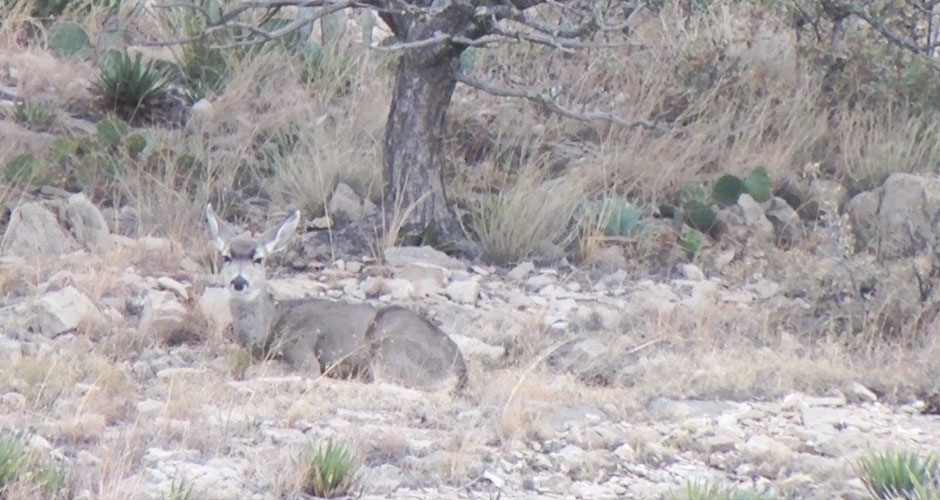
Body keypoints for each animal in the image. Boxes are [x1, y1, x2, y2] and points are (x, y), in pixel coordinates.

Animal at [206, 205, 470, 392]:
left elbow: (306, 372)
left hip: (389, 345)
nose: (239, 282)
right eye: (226, 257)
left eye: (258, 259)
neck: (269, 325)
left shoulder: (300, 345)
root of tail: (460, 371)